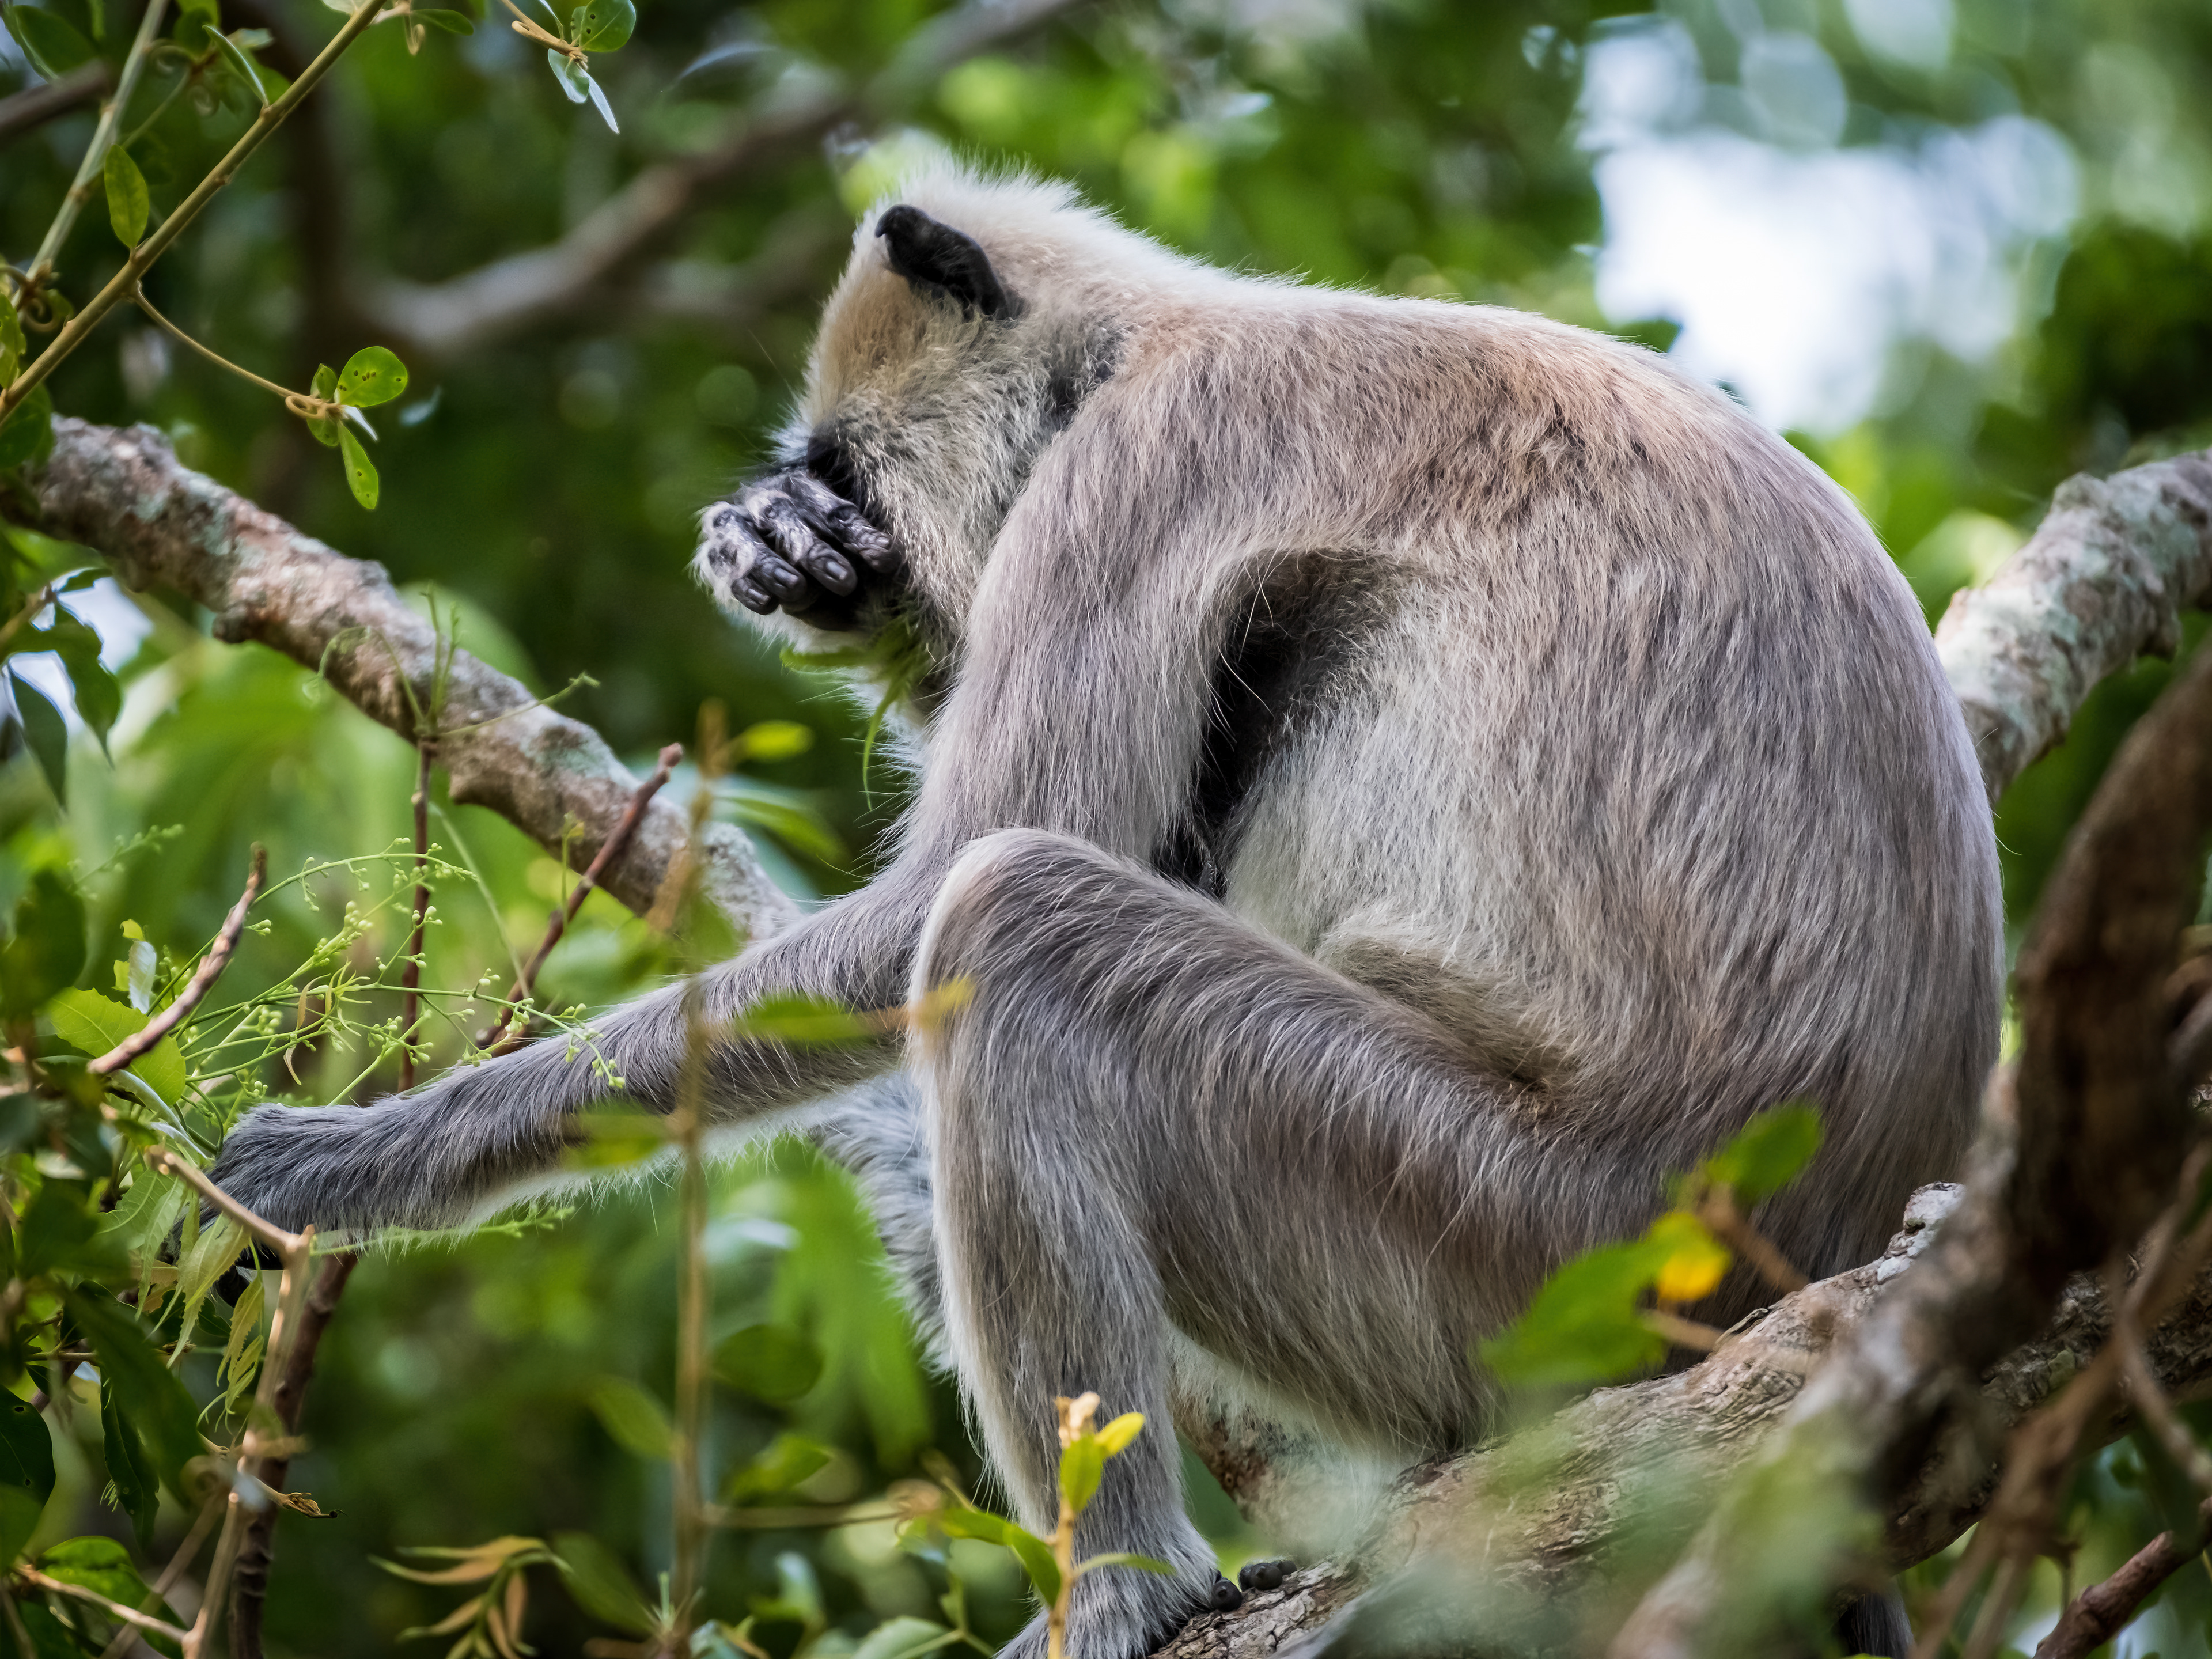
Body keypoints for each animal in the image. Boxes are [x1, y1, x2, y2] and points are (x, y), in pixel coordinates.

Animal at [210, 167, 2001, 1659]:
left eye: (857, 462)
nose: (834, 528)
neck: (1162, 330)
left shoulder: (1149, 463)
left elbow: (947, 891)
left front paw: (359, 1165)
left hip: (1523, 1242)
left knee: (1017, 924)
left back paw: (1130, 1600)